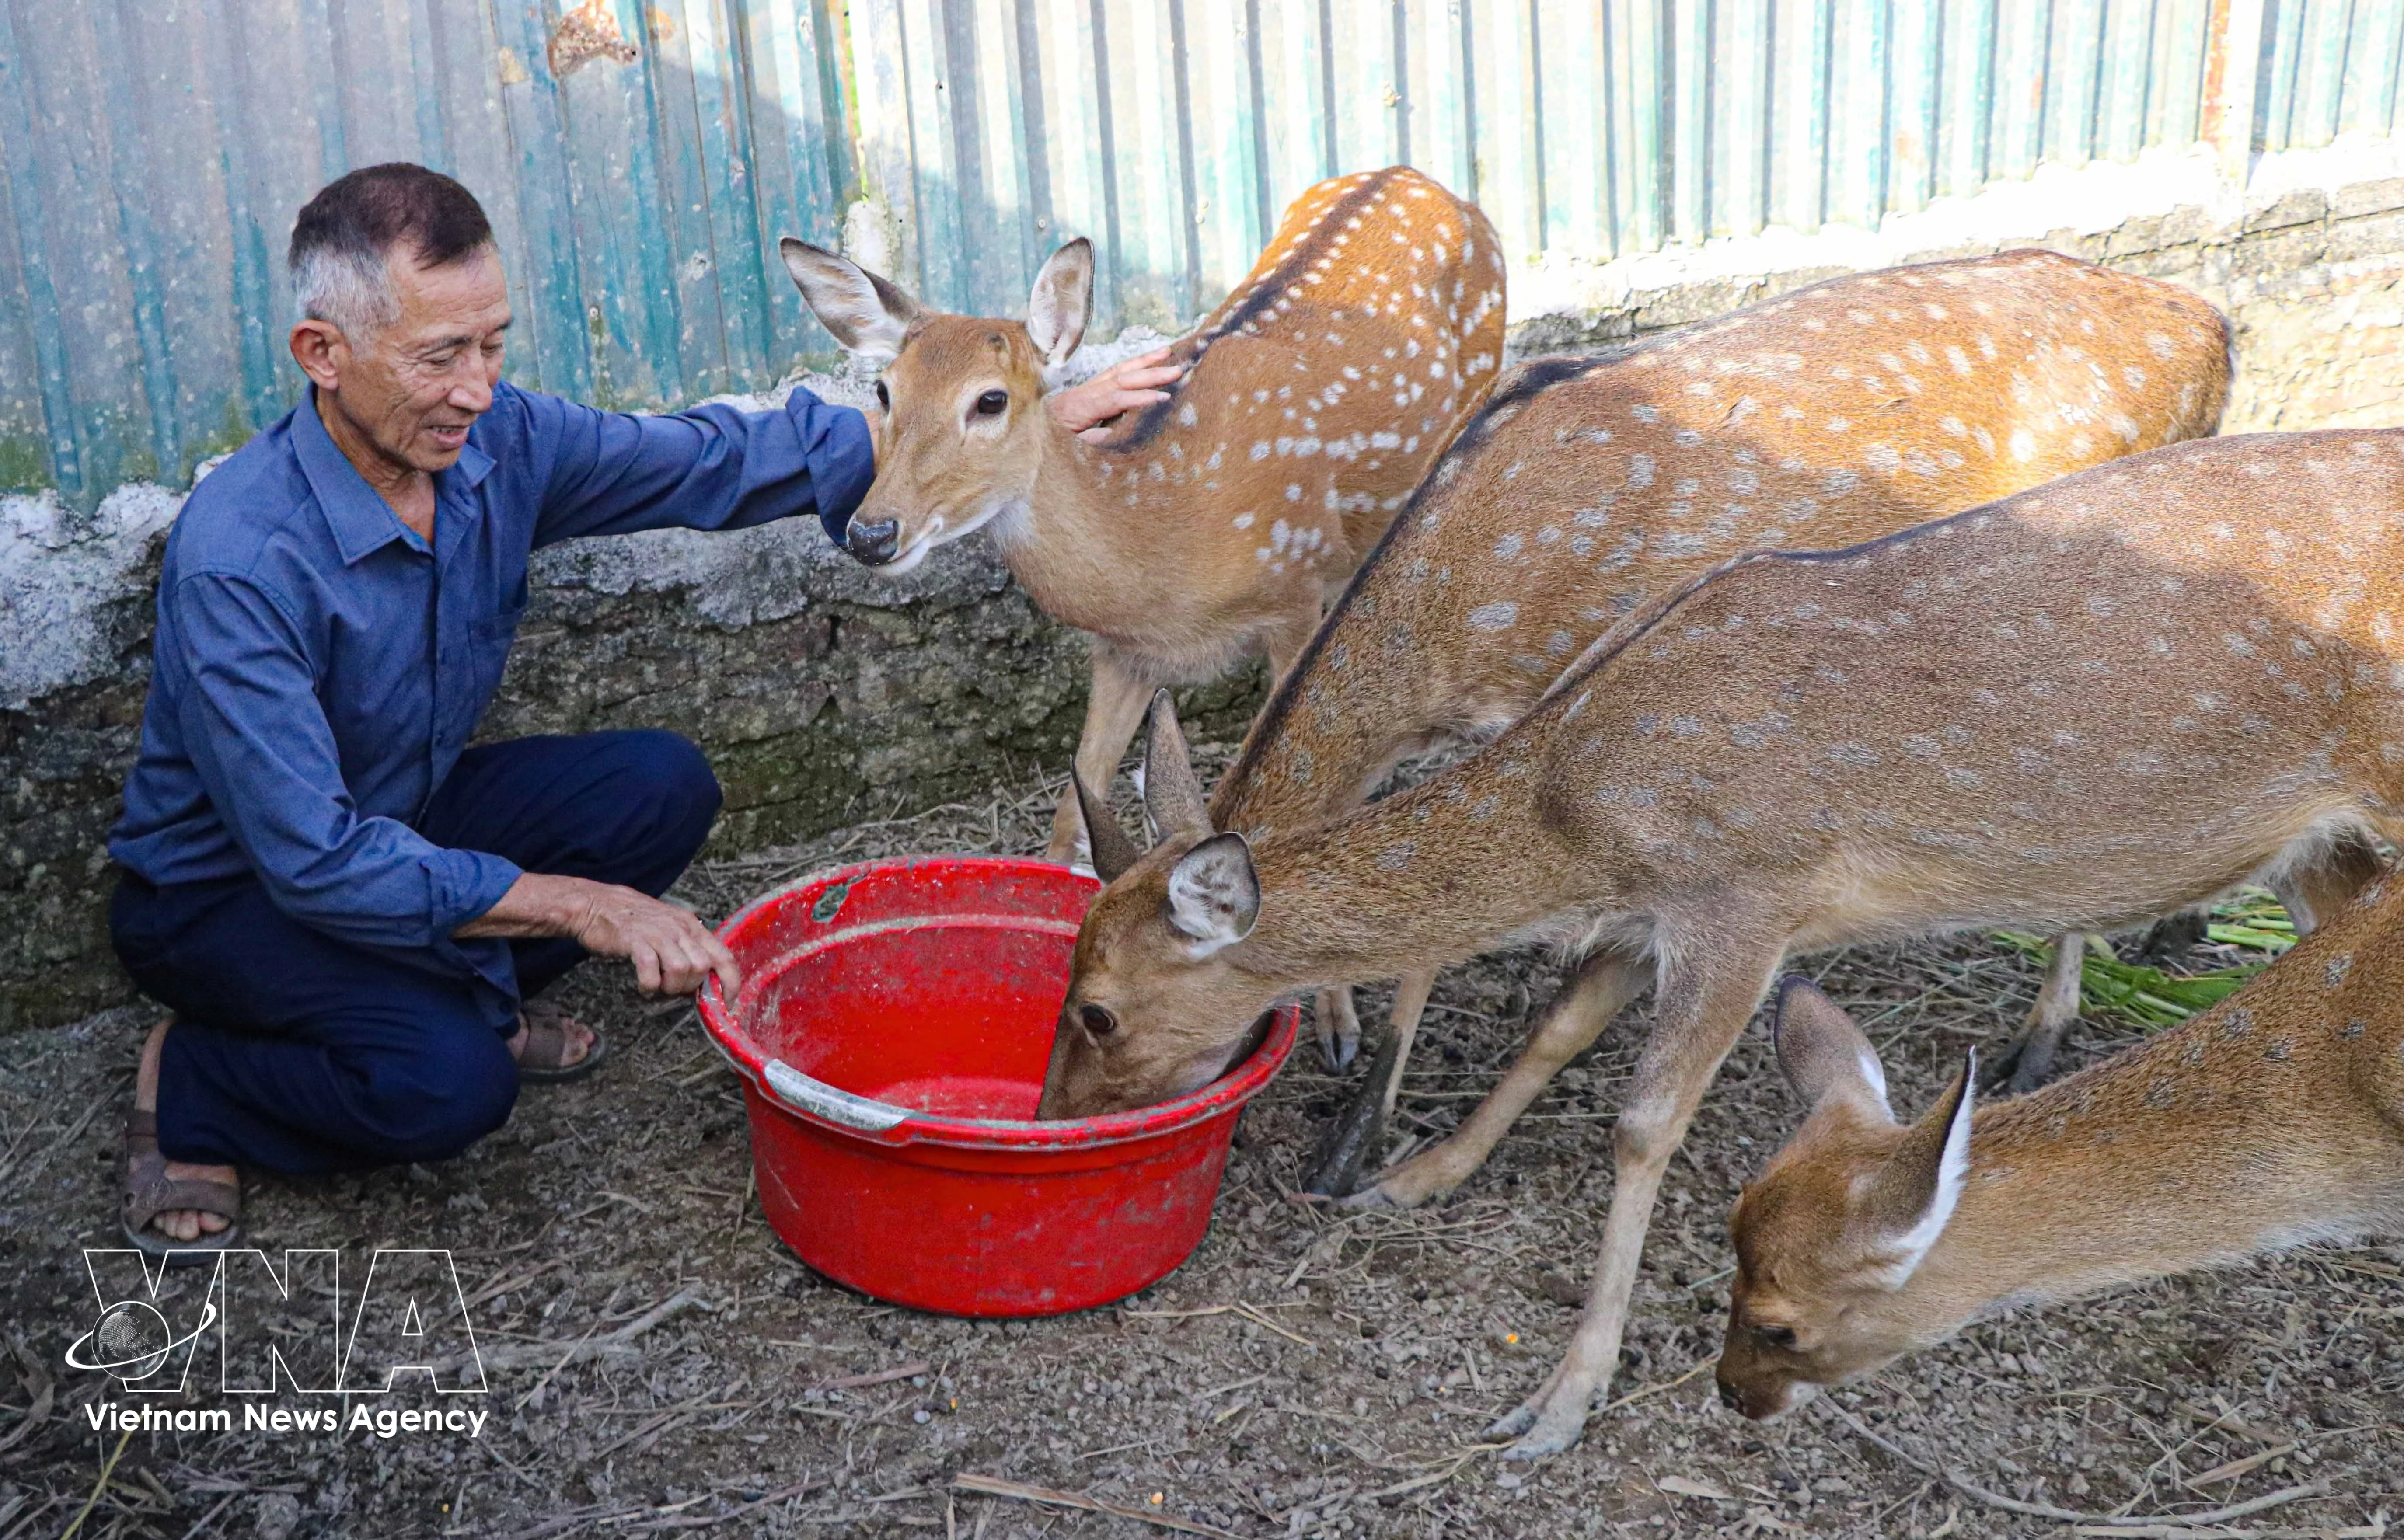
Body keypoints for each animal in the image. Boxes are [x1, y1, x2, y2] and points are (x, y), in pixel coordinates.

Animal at [778, 167, 1506, 865]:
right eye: (884, 391)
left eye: (990, 400)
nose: (872, 533)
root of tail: (1426, 181)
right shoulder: (1121, 650)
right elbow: (1077, 797)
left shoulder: (1294, 591)